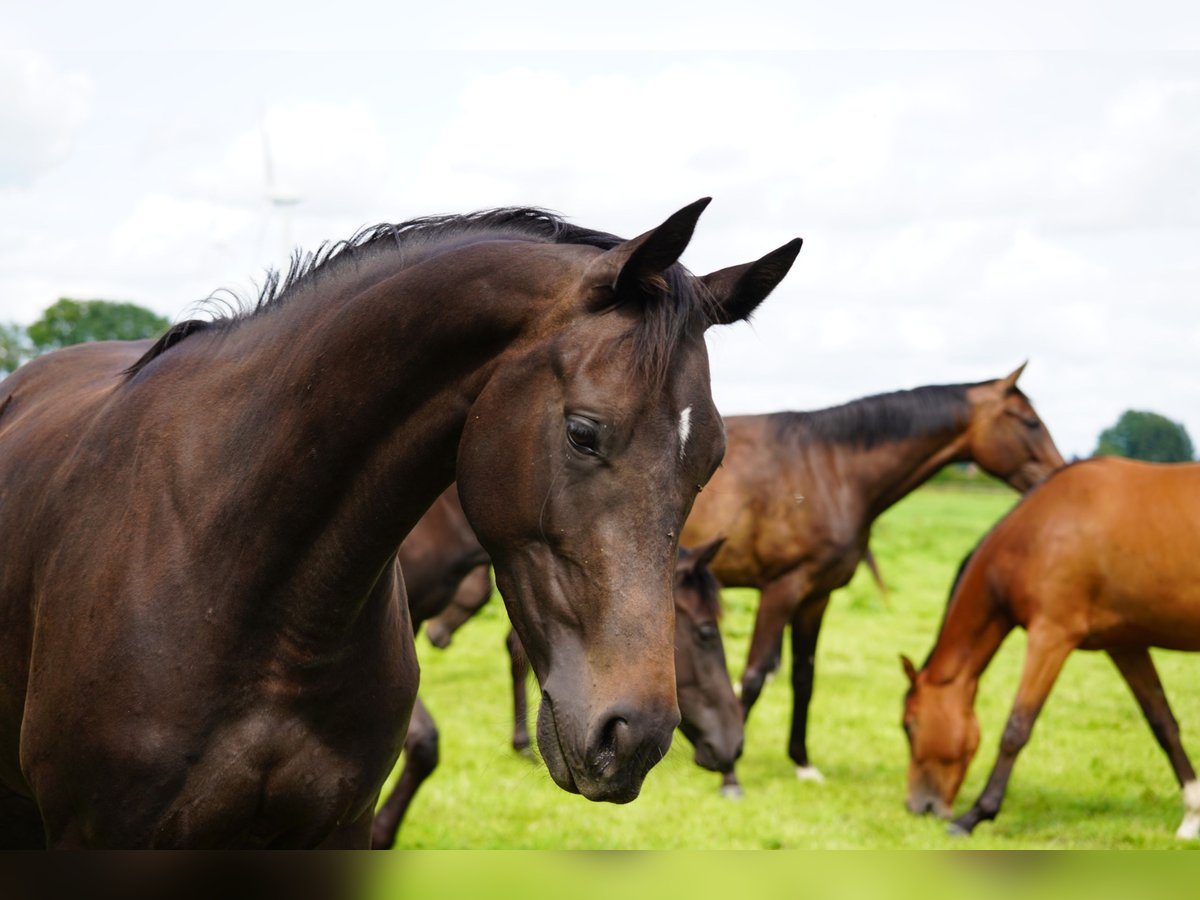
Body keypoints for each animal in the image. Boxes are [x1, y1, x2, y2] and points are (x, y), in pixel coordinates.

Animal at [681, 369, 1065, 792]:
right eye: (1029, 421)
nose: (1058, 473)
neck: (829, 472)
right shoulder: (781, 588)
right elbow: (753, 676)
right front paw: (730, 772)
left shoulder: (815, 596)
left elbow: (803, 677)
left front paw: (802, 762)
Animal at [902, 460, 1200, 844]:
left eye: (910, 725)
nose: (918, 806)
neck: (1041, 530)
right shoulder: (1125, 645)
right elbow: (1163, 724)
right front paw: (1192, 815)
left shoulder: (1051, 637)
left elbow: (1016, 729)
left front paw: (975, 815)